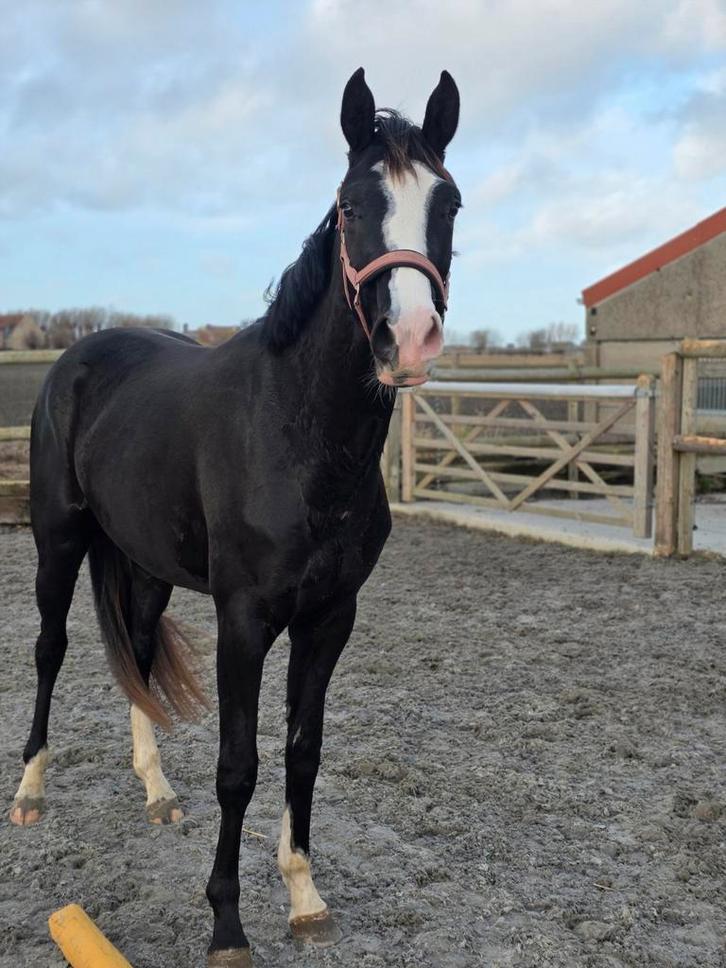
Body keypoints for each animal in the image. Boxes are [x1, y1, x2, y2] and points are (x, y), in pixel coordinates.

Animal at [10, 67, 461, 966]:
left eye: (451, 203)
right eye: (352, 204)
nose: (409, 338)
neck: (296, 433)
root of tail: (78, 356)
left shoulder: (330, 617)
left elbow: (302, 752)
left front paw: (305, 896)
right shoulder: (244, 618)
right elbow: (239, 765)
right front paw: (226, 922)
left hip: (143, 564)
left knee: (138, 654)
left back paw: (155, 790)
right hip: (59, 541)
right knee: (50, 649)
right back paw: (31, 791)